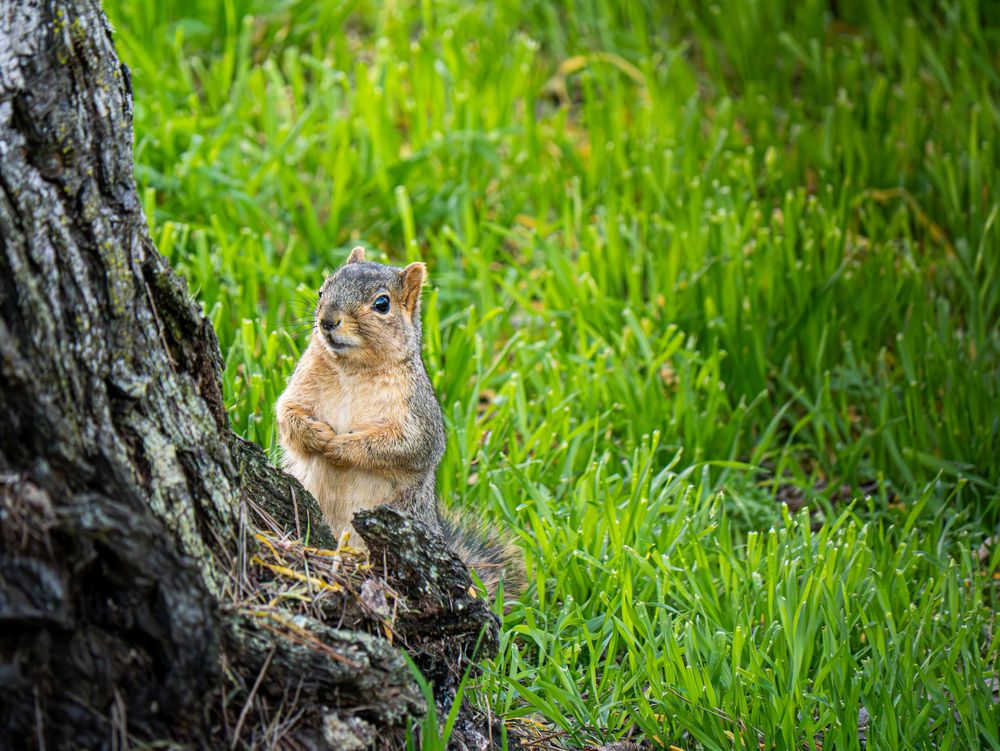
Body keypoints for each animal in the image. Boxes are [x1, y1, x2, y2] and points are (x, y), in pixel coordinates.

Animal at [275, 246, 523, 598]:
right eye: (323, 290)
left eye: (382, 304)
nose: (327, 321)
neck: (353, 369)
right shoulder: (300, 386)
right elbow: (287, 415)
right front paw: (316, 435)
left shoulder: (417, 415)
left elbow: (403, 446)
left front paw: (340, 446)